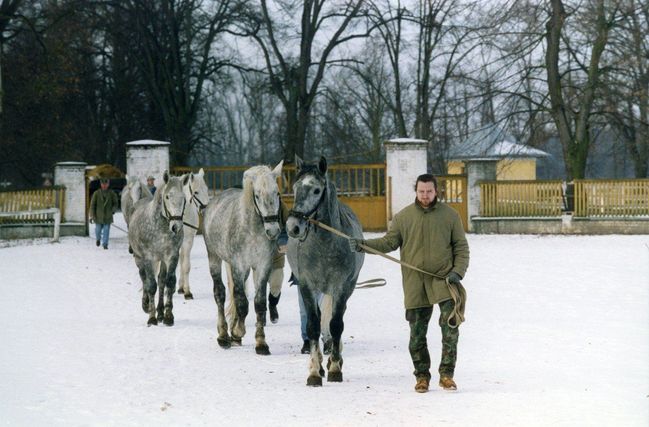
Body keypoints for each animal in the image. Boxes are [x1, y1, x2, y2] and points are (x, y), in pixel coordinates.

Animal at [127, 172, 186, 326]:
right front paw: (151, 317)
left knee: (161, 280)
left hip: (162, 260)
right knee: (144, 278)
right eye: (167, 197)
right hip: (139, 258)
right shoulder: (148, 257)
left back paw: (160, 312)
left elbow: (169, 282)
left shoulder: (172, 256)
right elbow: (151, 285)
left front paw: (168, 316)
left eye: (184, 198)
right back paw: (146, 305)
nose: (176, 227)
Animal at [176, 168, 209, 300]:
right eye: (196, 192)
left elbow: (186, 266)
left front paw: (187, 292)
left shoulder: (188, 241)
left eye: (207, 189)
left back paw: (180, 287)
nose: (205, 209)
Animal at [202, 160, 284, 354]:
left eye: (277, 192)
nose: (273, 231)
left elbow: (259, 303)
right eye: (257, 195)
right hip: (214, 258)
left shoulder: (262, 266)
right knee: (220, 294)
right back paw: (224, 336)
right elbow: (242, 303)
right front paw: (237, 332)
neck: (252, 229)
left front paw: (261, 343)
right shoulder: (239, 265)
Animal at [288, 155, 364, 386]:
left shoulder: (341, 287)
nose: (293, 227)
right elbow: (313, 325)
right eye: (294, 188)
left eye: (316, 190)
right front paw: (314, 372)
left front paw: (335, 369)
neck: (324, 246)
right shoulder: (306, 286)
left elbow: (336, 325)